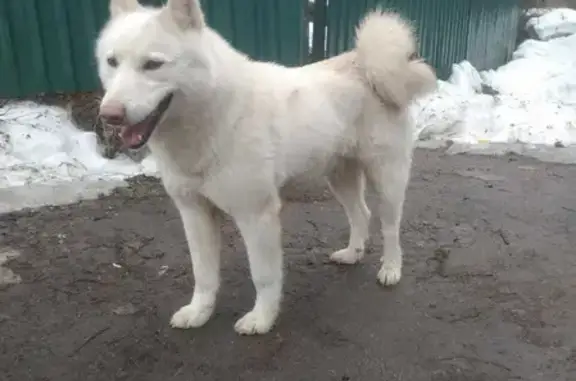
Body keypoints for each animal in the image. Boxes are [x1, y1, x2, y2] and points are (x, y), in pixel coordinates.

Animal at [95, 0, 436, 332]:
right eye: (112, 62)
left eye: (153, 64)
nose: (109, 115)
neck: (212, 117)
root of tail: (365, 64)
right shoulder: (194, 213)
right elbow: (203, 274)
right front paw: (199, 312)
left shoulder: (256, 216)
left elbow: (263, 275)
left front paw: (262, 319)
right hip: (340, 178)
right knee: (360, 214)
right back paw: (353, 253)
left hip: (387, 179)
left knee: (390, 227)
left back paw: (391, 269)